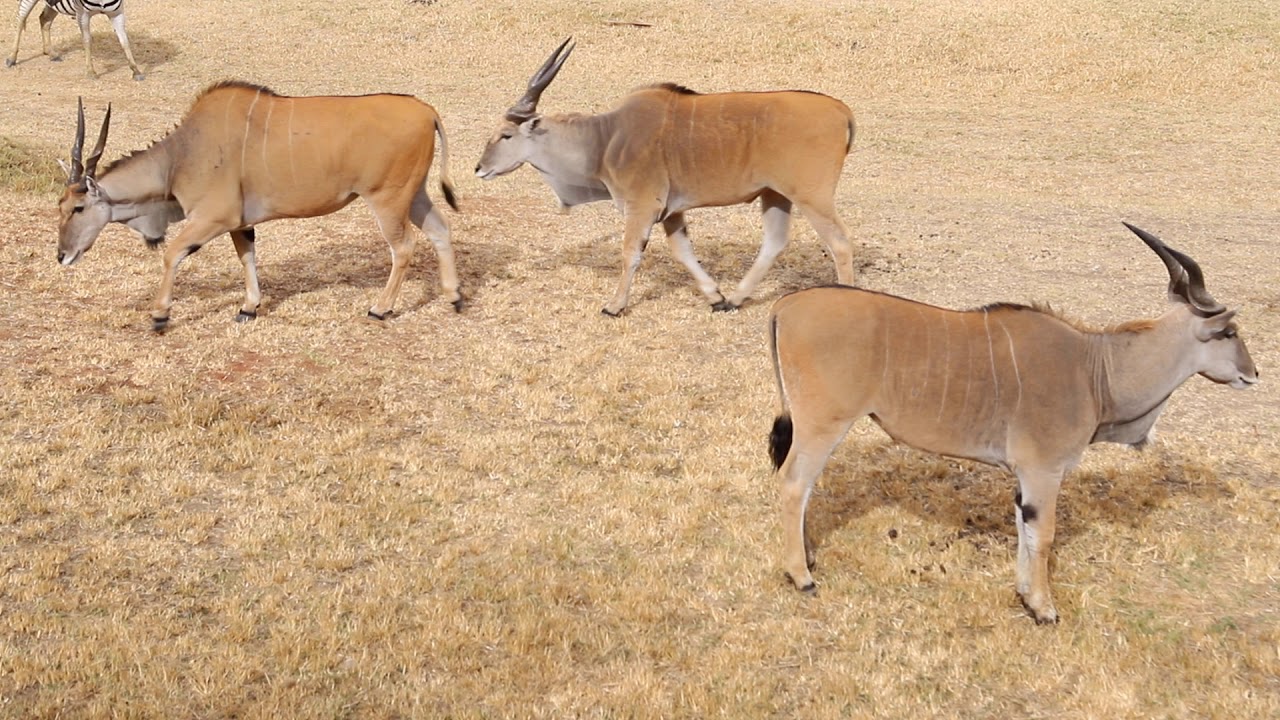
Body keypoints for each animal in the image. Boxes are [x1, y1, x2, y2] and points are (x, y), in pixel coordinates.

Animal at [56, 81, 461, 331]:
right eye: (60, 206)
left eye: (78, 208)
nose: (62, 255)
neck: (180, 157)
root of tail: (426, 111)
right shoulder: (240, 223)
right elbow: (247, 257)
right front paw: (248, 308)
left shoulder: (214, 217)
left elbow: (172, 254)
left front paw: (159, 315)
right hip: (414, 194)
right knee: (441, 229)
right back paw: (454, 297)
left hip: (387, 198)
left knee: (403, 247)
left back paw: (380, 308)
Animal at [475, 38, 858, 316]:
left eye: (505, 135)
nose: (479, 168)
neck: (605, 139)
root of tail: (841, 110)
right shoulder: (672, 211)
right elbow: (683, 252)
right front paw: (715, 296)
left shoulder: (643, 205)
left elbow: (630, 252)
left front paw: (614, 306)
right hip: (774, 194)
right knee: (775, 242)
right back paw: (735, 299)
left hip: (811, 196)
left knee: (839, 243)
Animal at [767, 224, 1257, 623]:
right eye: (1230, 333)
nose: (1253, 373)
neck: (1095, 369)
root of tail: (785, 305)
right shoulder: (1043, 470)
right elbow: (1043, 534)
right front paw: (1043, 608)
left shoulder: (1026, 477)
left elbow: (1025, 528)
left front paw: (1024, 595)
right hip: (823, 424)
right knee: (793, 483)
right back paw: (802, 576)